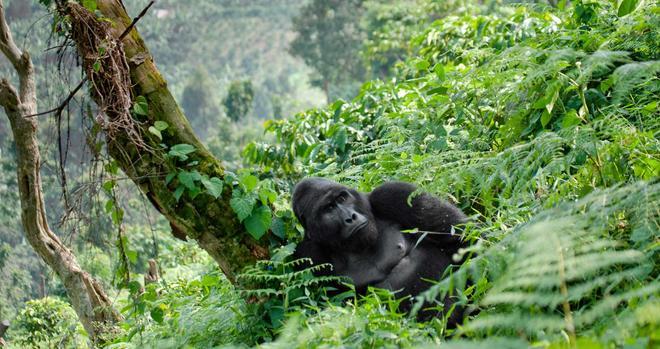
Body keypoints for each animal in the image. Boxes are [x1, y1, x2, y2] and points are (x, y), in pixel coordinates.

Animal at [292, 177, 470, 324]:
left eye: (342, 198)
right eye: (328, 208)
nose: (351, 217)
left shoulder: (393, 194)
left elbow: (461, 236)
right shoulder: (309, 253)